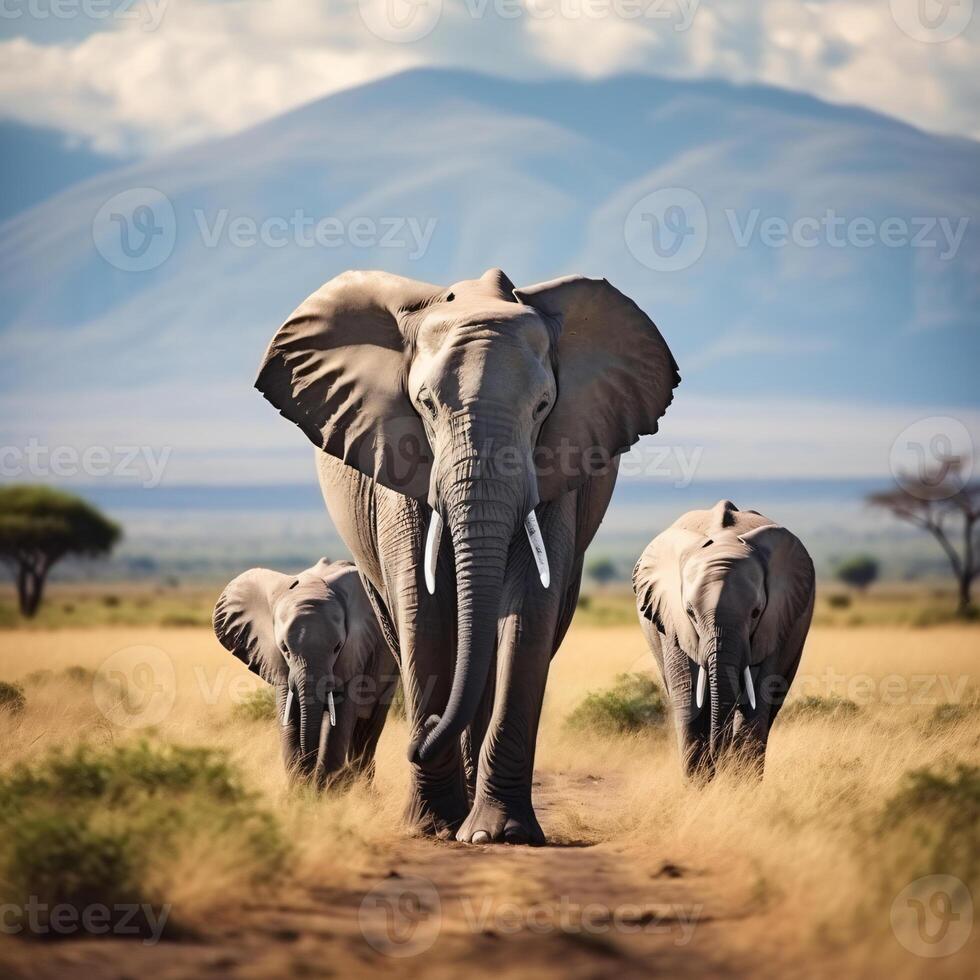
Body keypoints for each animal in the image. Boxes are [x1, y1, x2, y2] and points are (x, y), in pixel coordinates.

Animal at [214, 560, 398, 788]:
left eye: (337, 647)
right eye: (284, 648)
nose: (310, 775)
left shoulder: (355, 653)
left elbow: (339, 724)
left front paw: (323, 791)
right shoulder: (279, 665)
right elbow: (289, 720)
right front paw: (300, 790)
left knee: (367, 729)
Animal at [256, 268, 676, 844]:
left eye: (542, 406)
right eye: (426, 403)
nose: (424, 731)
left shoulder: (559, 459)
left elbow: (529, 611)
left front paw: (499, 834)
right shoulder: (396, 455)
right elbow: (423, 606)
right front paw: (431, 826)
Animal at [636, 502, 812, 776]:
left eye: (756, 612)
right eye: (690, 612)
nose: (717, 757)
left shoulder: (774, 622)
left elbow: (757, 698)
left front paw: (740, 782)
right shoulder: (672, 623)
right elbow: (688, 697)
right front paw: (699, 784)